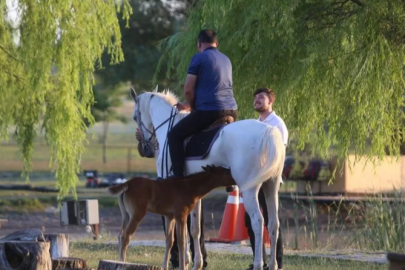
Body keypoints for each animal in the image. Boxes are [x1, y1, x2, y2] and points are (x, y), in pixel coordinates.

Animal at [105, 165, 235, 270]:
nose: (234, 183)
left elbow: (170, 240)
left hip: (126, 215)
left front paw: (165, 266)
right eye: (225, 172)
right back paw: (122, 262)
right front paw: (183, 267)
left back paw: (118, 261)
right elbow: (182, 241)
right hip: (137, 214)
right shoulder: (180, 215)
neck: (189, 187)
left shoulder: (169, 216)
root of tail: (126, 184)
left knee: (120, 234)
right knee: (125, 236)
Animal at [129, 86, 284, 270]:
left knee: (258, 222)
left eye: (134, 116)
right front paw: (196, 263)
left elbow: (180, 230)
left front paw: (184, 261)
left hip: (250, 190)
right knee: (273, 223)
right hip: (271, 186)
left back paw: (258, 264)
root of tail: (269, 131)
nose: (145, 148)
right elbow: (195, 229)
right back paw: (273, 264)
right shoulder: (192, 193)